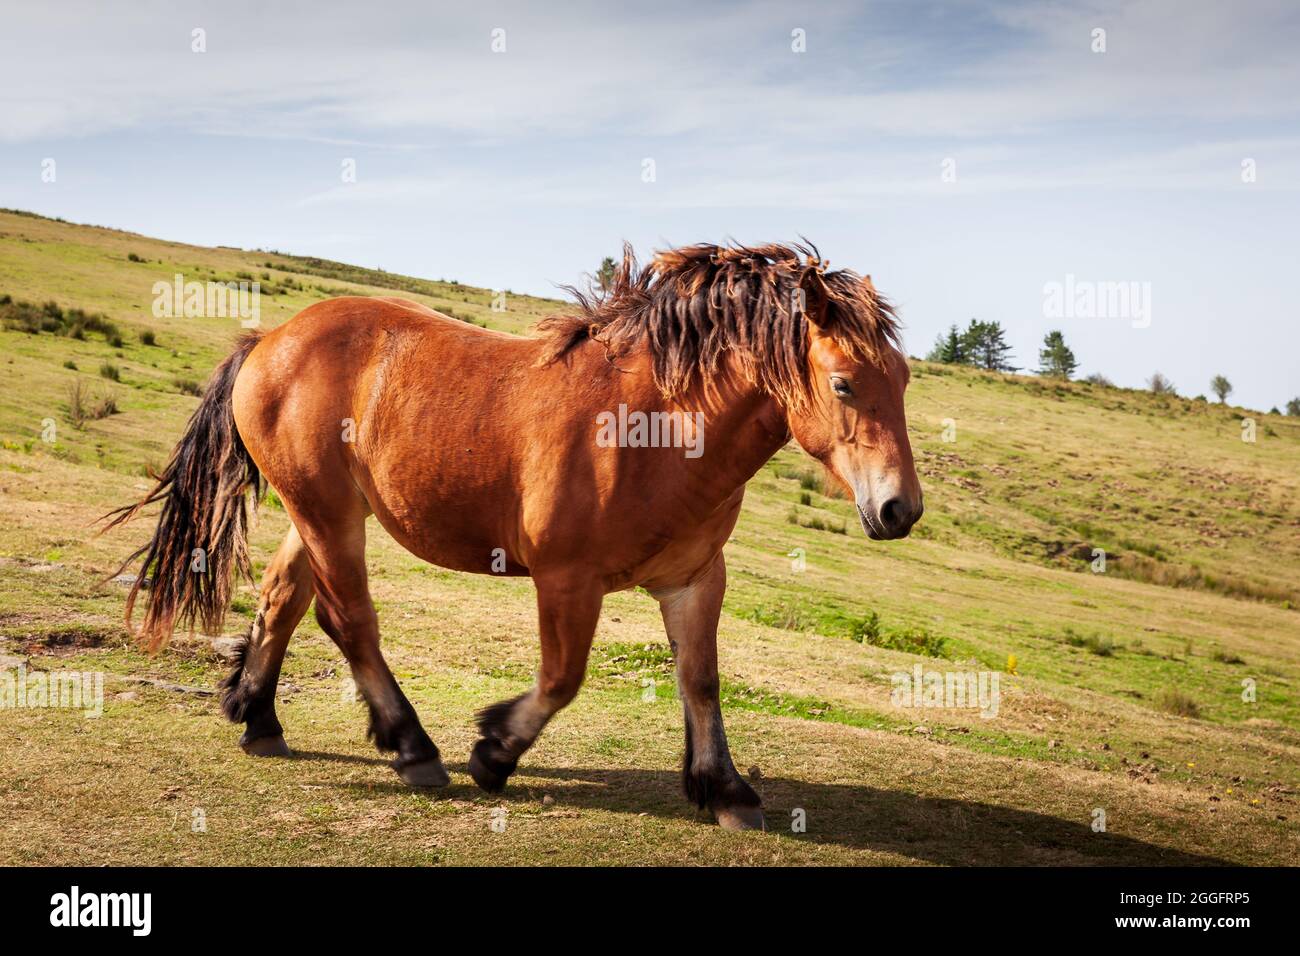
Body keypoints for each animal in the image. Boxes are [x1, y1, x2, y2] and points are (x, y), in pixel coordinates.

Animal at [109, 244, 925, 832]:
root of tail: (269, 338)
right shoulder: (567, 578)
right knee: (351, 622)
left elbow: (701, 680)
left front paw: (725, 789)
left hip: (323, 515)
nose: (900, 510)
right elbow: (562, 678)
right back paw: (412, 747)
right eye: (845, 384)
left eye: (905, 380)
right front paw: (494, 751)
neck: (655, 426)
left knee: (283, 600)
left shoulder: (695, 581)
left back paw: (259, 718)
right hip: (328, 518)